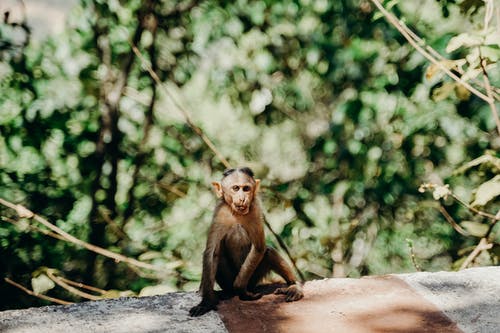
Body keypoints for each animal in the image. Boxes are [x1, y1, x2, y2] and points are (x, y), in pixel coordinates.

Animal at [188, 166, 302, 316]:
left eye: (246, 188)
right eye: (236, 188)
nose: (242, 198)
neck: (236, 213)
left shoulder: (255, 210)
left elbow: (259, 247)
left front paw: (241, 289)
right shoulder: (220, 213)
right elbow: (211, 253)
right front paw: (206, 302)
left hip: (253, 279)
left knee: (269, 252)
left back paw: (293, 285)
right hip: (228, 280)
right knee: (221, 252)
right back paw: (227, 292)